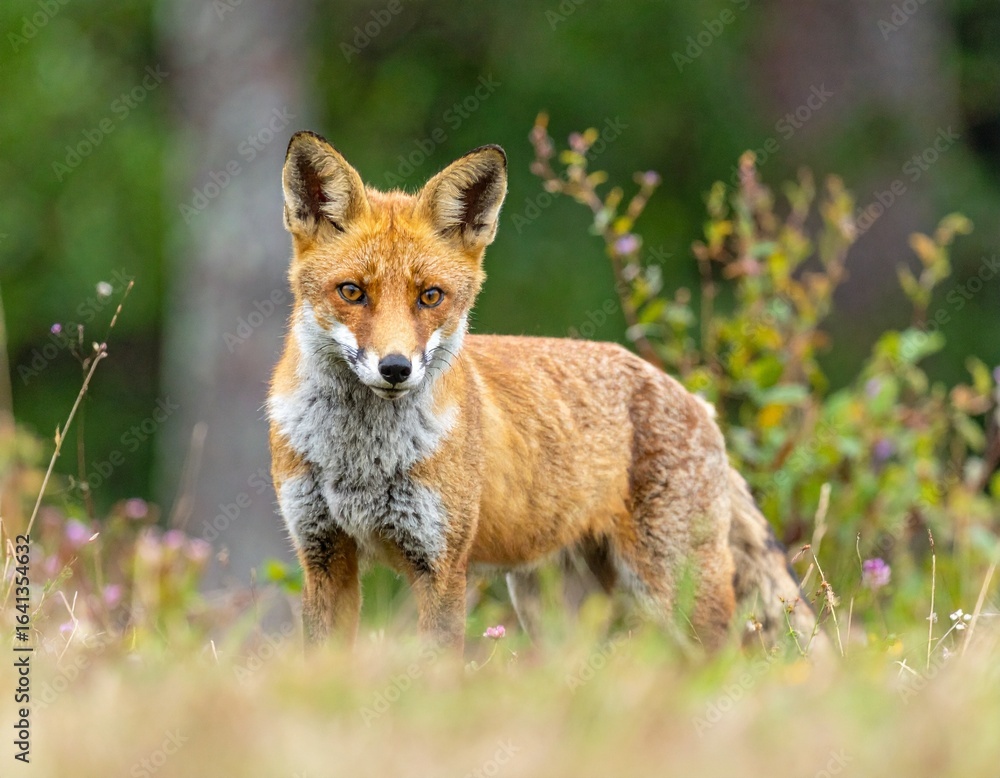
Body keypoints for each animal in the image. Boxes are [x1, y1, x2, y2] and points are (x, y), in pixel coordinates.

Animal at [267, 130, 821, 654]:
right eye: (352, 292)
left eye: (430, 297)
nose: (396, 368)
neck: (361, 458)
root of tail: (694, 399)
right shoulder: (324, 556)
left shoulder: (441, 565)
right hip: (554, 610)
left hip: (677, 593)